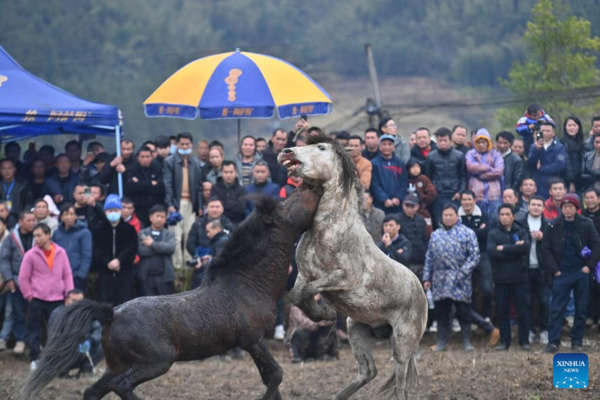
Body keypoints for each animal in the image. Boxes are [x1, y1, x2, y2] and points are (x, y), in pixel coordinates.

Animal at [22, 185, 324, 400]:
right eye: (285, 205)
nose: (313, 186)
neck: (246, 283)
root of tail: (110, 313)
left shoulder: (254, 343)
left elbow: (272, 378)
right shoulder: (253, 340)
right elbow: (276, 375)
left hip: (118, 364)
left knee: (94, 391)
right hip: (158, 360)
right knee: (122, 386)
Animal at [278, 135, 428, 400]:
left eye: (321, 147)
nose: (287, 151)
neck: (328, 230)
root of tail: (422, 292)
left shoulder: (344, 278)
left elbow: (310, 290)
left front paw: (324, 313)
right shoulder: (304, 273)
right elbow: (297, 294)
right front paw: (320, 314)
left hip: (402, 341)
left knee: (400, 381)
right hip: (356, 329)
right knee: (369, 371)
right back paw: (338, 396)